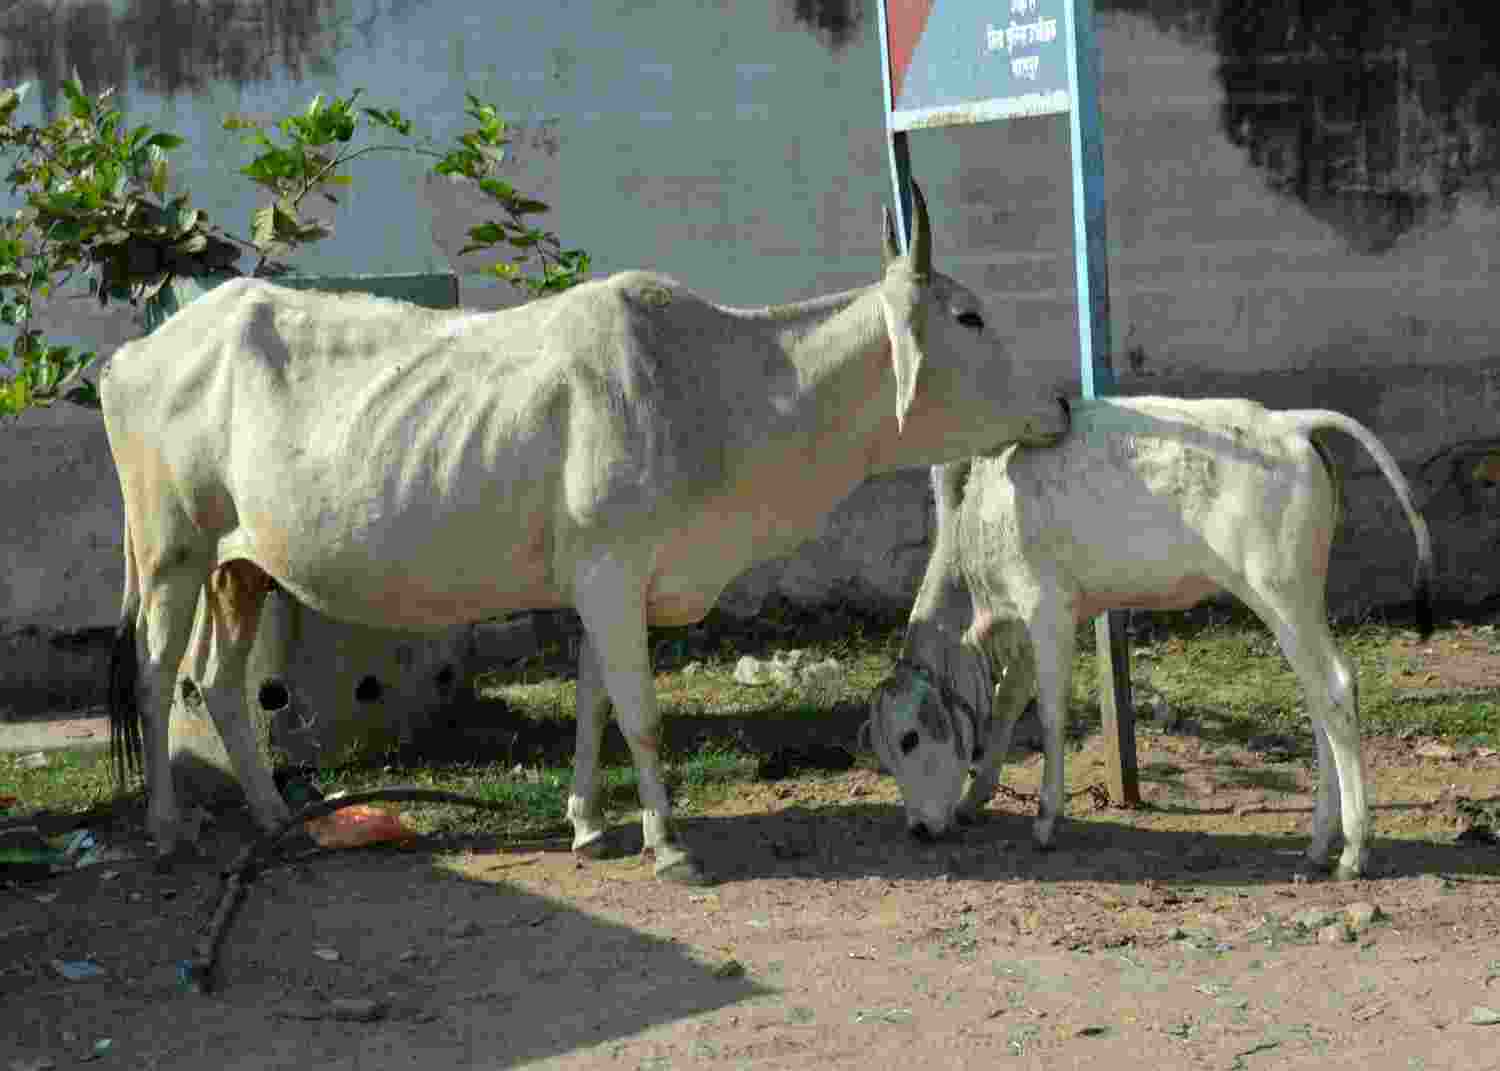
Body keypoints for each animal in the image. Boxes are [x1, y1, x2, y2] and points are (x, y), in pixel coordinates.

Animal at [102, 182, 1071, 883]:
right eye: (970, 315)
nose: (1060, 403)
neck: (718, 389)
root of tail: (132, 354)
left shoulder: (605, 585)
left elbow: (593, 704)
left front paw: (589, 826)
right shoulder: (612, 571)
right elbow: (638, 712)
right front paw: (669, 845)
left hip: (240, 566)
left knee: (217, 685)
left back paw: (275, 819)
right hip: (170, 552)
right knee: (155, 676)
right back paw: (167, 829)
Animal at [864, 396, 1433, 881]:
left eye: (909, 738)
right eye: (885, 753)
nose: (919, 829)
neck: (973, 513)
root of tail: (1291, 423)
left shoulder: (1047, 609)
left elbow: (1048, 715)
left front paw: (1046, 819)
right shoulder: (1023, 626)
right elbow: (1006, 704)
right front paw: (973, 798)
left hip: (1282, 596)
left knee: (1335, 689)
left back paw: (1353, 851)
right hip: (1294, 604)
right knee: (1321, 702)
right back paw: (1319, 844)